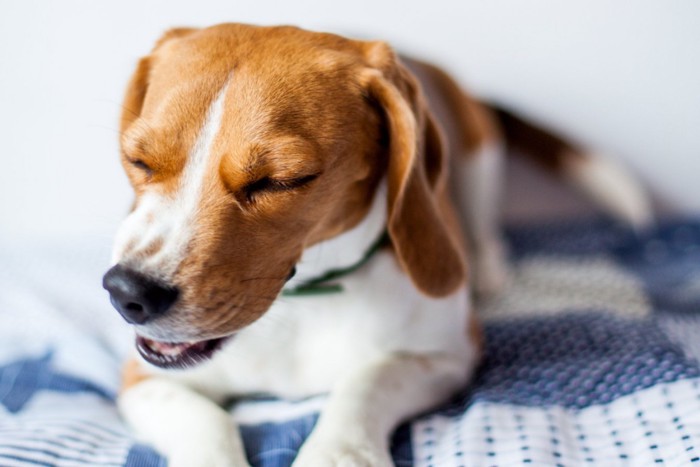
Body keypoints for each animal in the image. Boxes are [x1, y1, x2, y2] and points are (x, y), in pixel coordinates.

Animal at [104, 22, 652, 467]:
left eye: (282, 181)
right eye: (138, 160)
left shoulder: (446, 357)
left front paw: (338, 453)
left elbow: (364, 383)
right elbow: (205, 421)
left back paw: (488, 267)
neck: (304, 302)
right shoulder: (143, 378)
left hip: (480, 155)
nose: (128, 292)